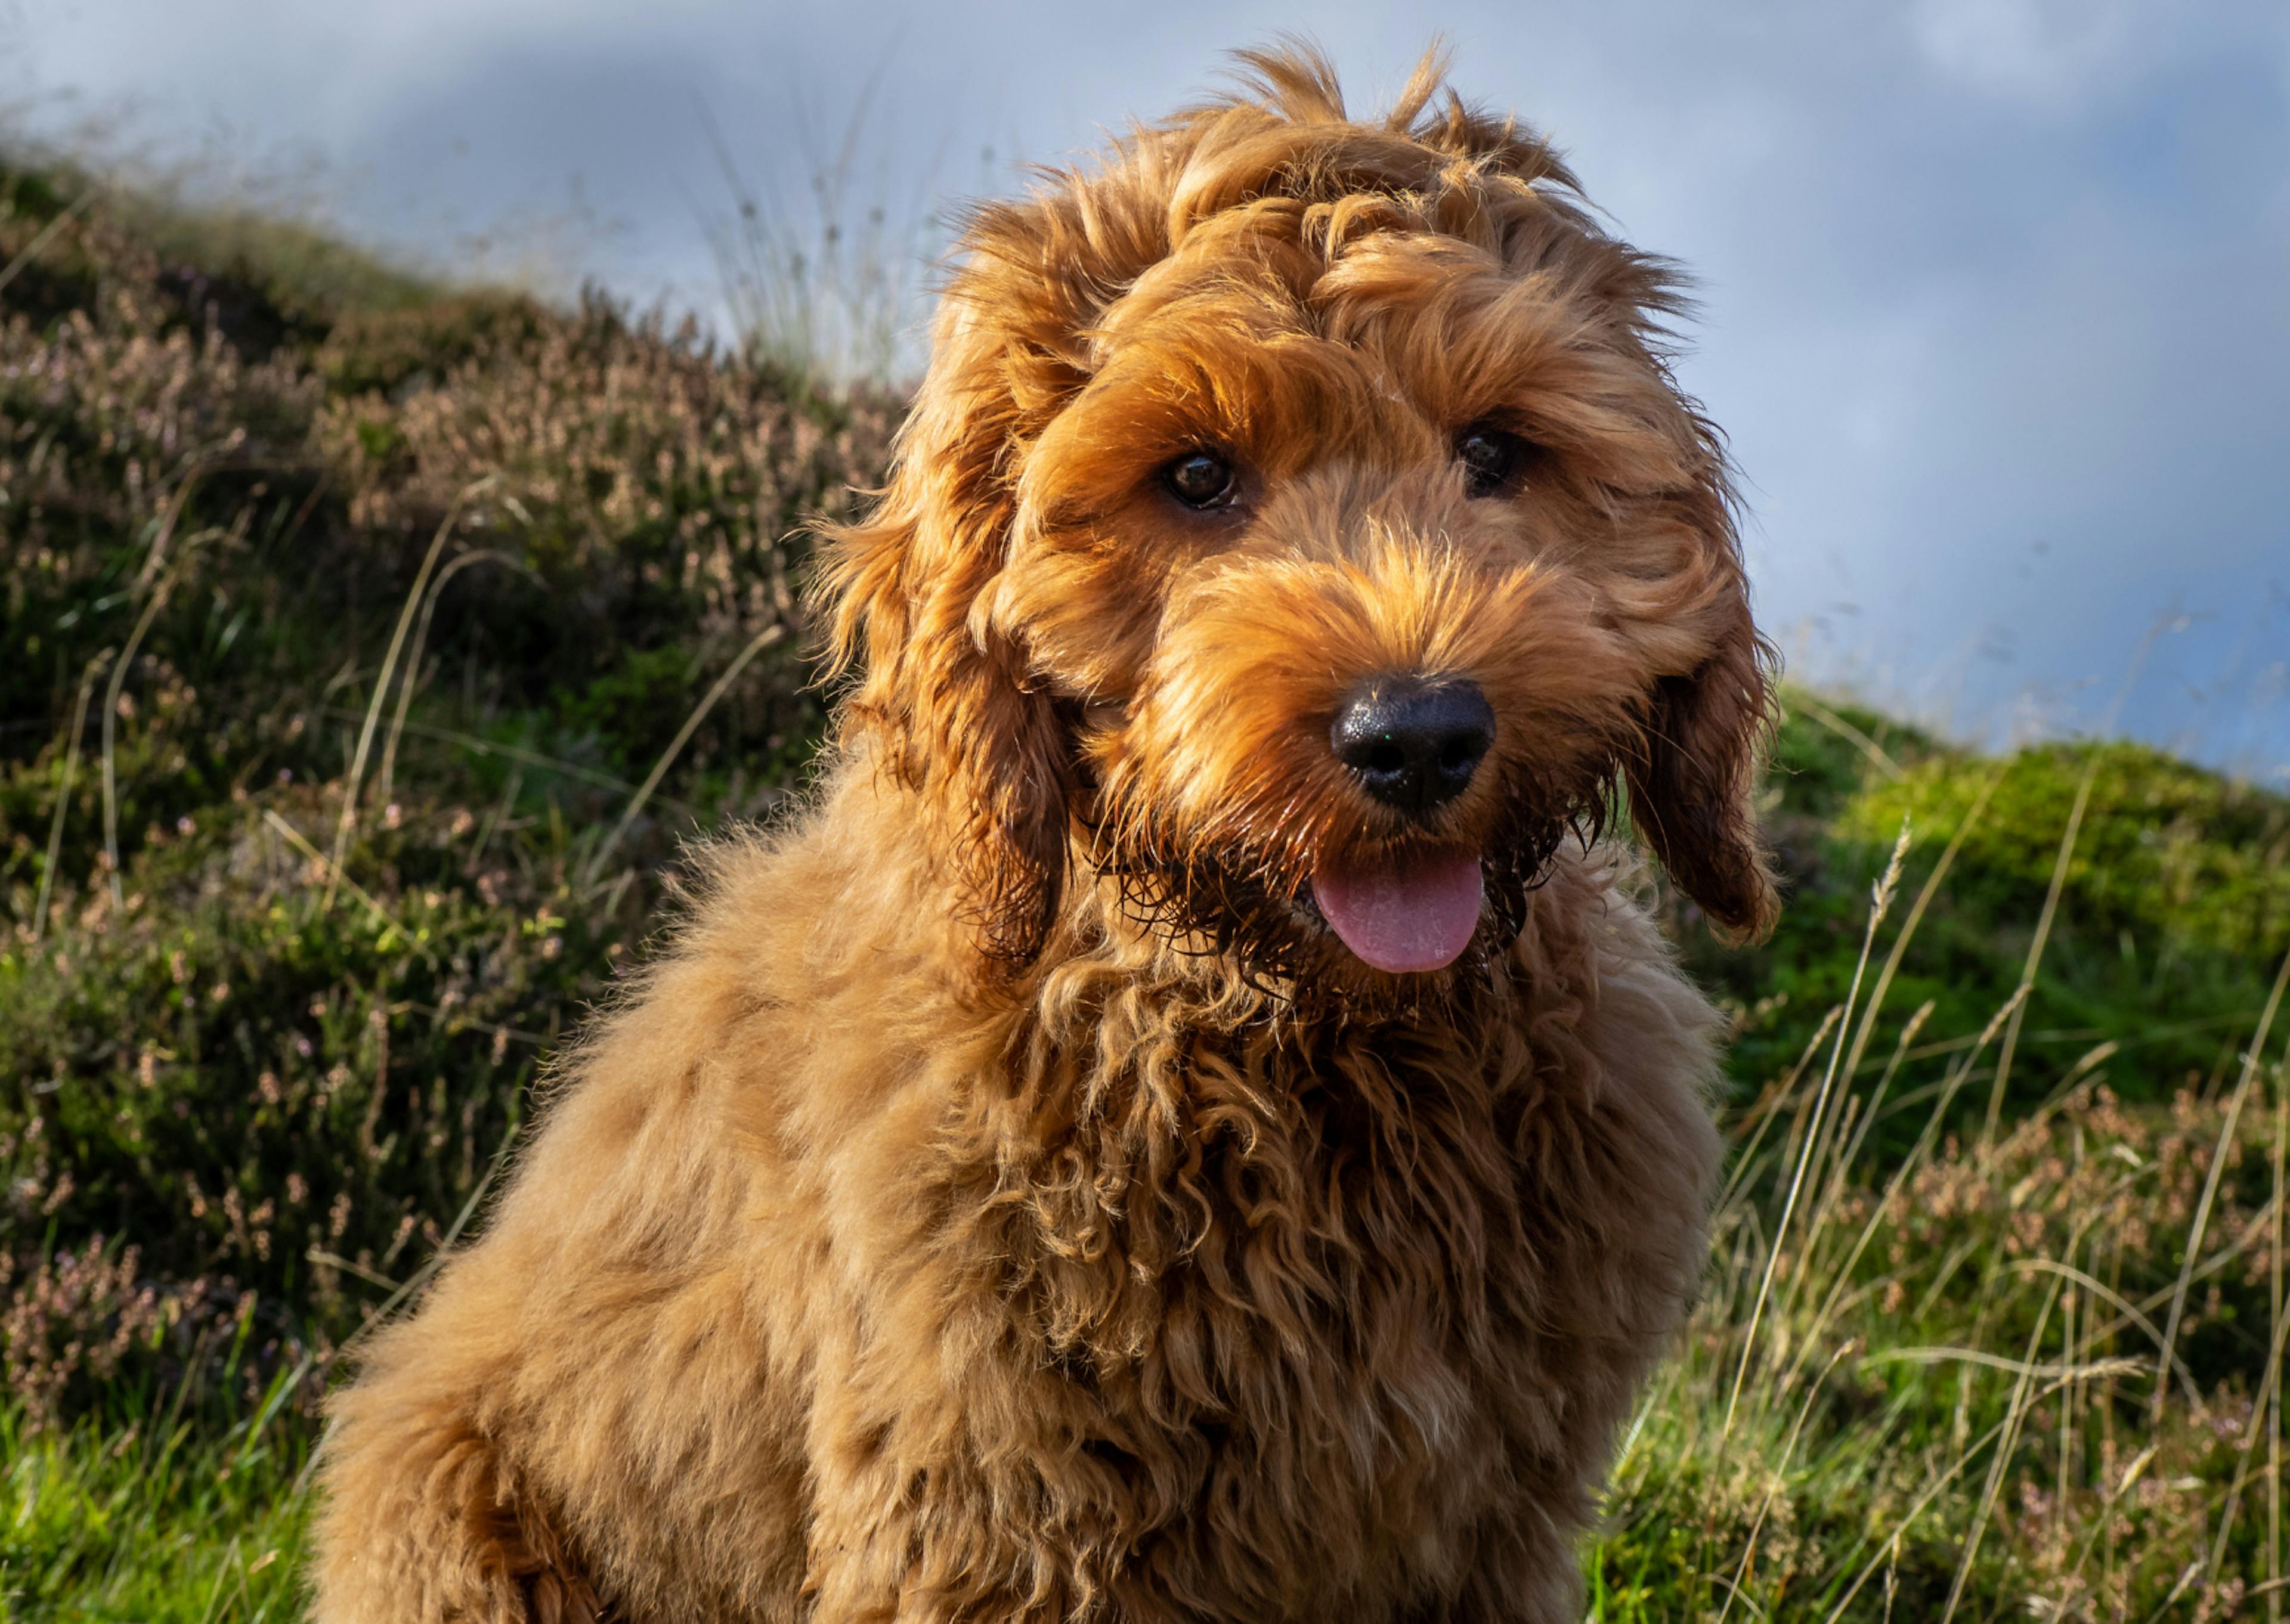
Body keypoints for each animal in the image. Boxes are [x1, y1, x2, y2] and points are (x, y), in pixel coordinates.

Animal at [309, 44, 1768, 1622]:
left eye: (1496, 450)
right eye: (1196, 475)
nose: (1416, 734)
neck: (1297, 1048)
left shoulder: (1488, 1520)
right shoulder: (995, 1514)